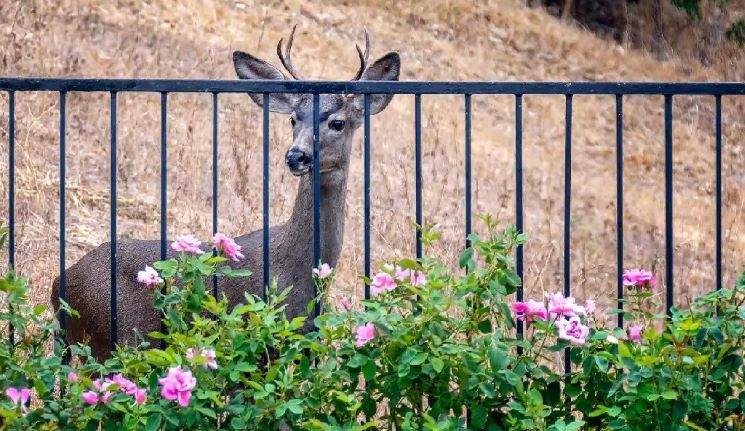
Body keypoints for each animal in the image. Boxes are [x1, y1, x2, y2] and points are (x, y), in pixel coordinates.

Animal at [50, 27, 402, 362]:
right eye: (293, 119)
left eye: (338, 122)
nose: (296, 156)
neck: (296, 270)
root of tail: (58, 286)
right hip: (115, 339)